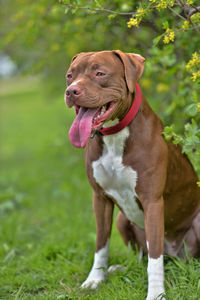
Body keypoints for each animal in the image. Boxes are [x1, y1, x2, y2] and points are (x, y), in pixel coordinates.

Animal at [65, 51, 199, 300]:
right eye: (70, 75)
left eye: (100, 73)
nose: (71, 91)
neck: (114, 135)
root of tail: (175, 256)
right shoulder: (100, 198)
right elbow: (101, 243)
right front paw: (95, 279)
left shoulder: (152, 201)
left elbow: (154, 258)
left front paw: (156, 293)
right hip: (121, 218)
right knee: (141, 257)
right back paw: (119, 268)